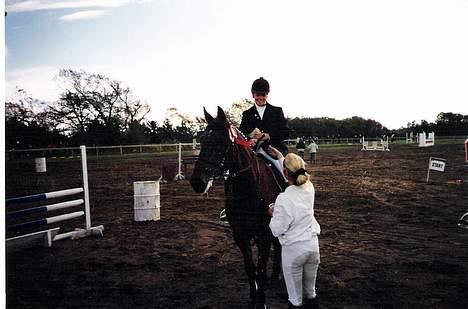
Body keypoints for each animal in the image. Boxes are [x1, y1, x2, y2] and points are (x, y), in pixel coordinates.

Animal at [189, 106, 284, 308]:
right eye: (202, 140)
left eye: (221, 142)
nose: (197, 182)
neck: (248, 188)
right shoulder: (240, 234)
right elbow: (250, 268)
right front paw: (253, 298)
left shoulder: (264, 234)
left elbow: (260, 270)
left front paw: (261, 302)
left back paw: (275, 277)